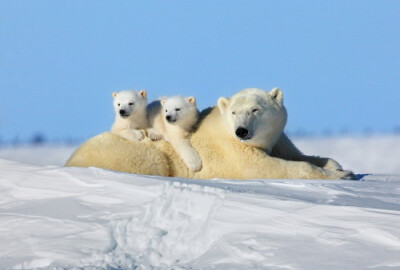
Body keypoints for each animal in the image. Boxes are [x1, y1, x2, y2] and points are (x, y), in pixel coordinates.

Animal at [66, 87, 354, 180]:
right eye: (234, 112)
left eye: (255, 109)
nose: (242, 131)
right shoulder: (233, 151)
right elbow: (266, 168)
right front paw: (341, 176)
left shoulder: (277, 139)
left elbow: (298, 154)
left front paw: (339, 166)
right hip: (126, 153)